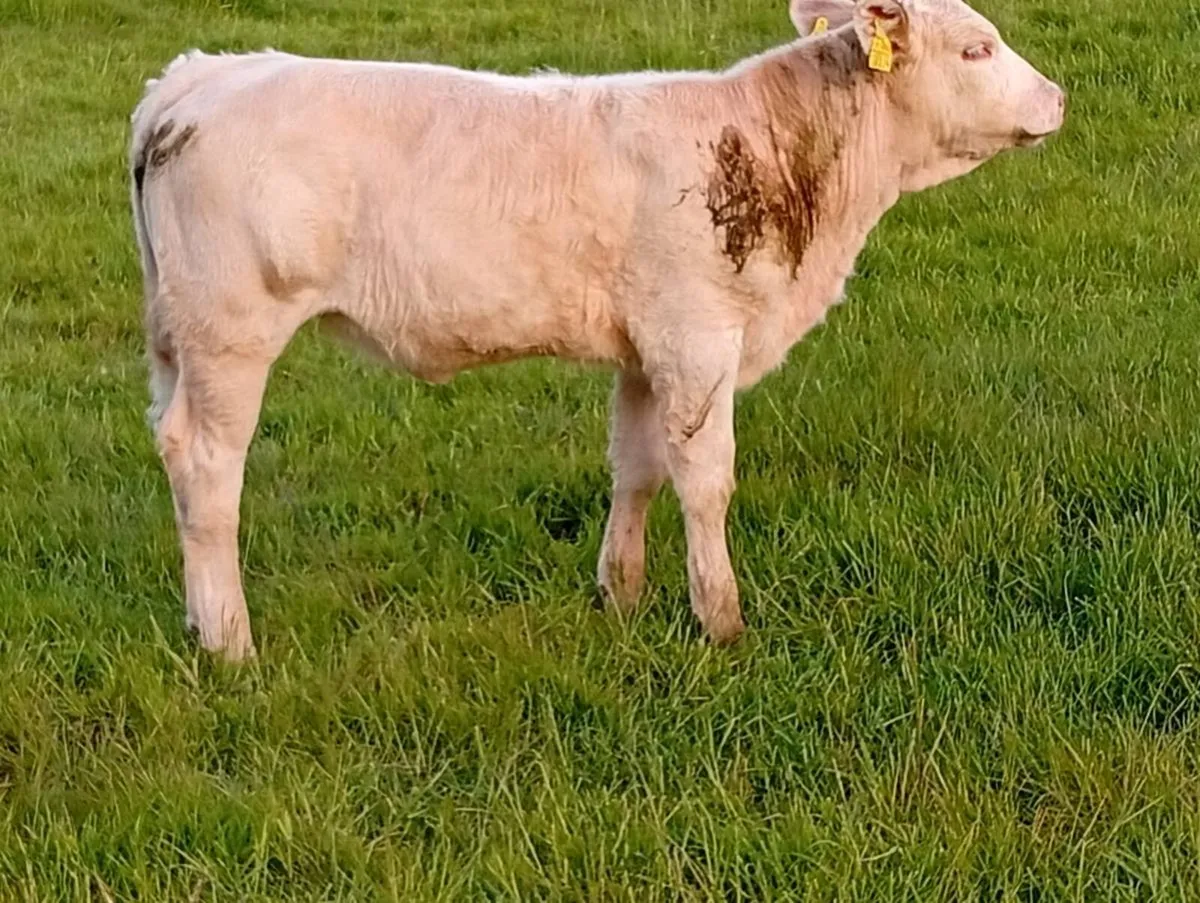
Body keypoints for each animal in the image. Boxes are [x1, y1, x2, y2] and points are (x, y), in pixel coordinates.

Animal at [130, 0, 1065, 660]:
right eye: (977, 48)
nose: (1059, 97)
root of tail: (200, 77)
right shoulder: (697, 337)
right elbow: (706, 480)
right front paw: (721, 621)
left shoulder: (648, 348)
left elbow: (638, 468)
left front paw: (621, 594)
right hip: (231, 328)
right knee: (210, 467)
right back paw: (232, 644)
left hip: (174, 336)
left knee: (174, 451)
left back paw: (197, 624)